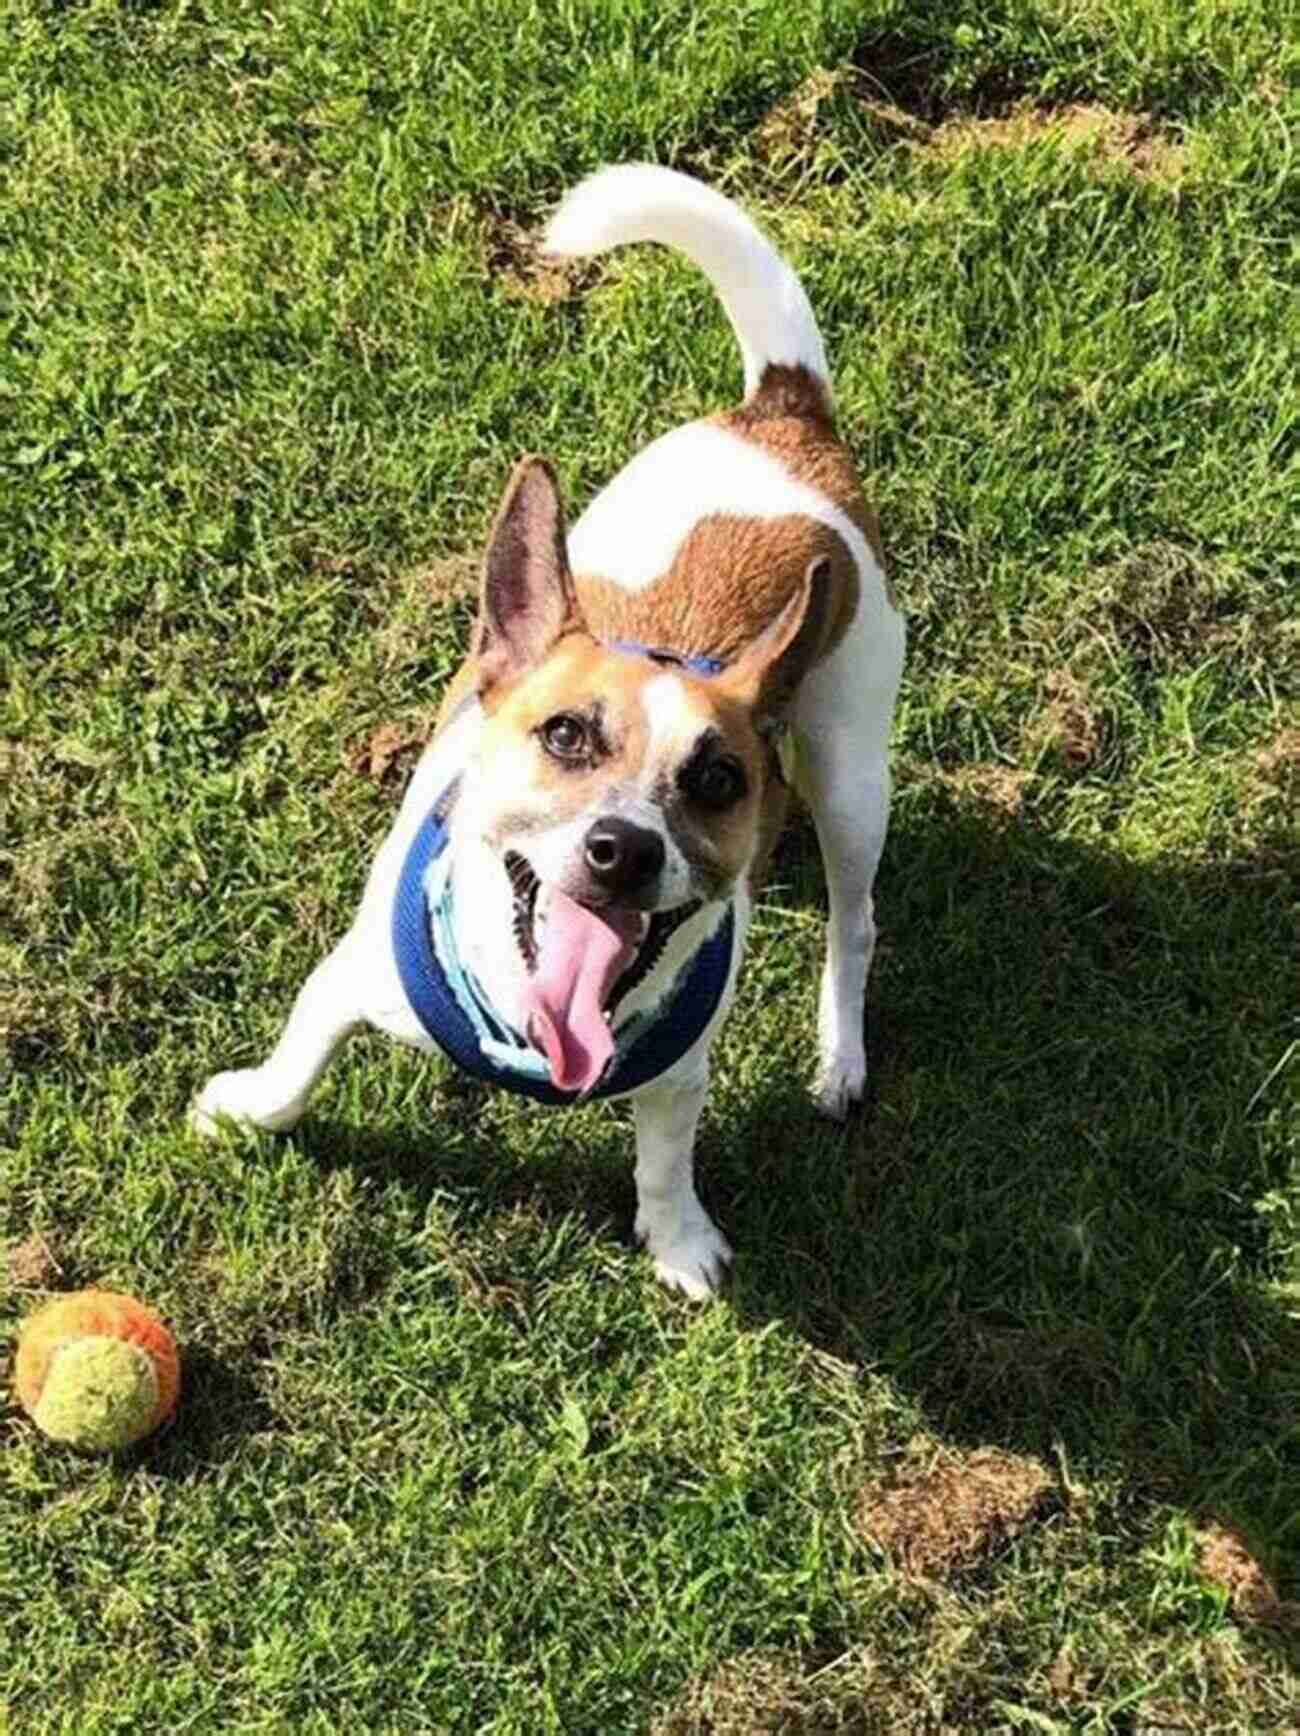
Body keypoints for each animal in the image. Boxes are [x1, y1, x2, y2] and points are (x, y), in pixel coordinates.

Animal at [195, 165, 902, 1305]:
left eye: (714, 779)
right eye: (564, 734)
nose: (624, 847)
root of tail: (780, 415)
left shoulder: (679, 1071)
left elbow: (664, 1156)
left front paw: (678, 1238)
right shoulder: (348, 980)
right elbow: (300, 1059)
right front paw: (248, 1109)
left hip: (851, 767)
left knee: (854, 919)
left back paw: (839, 1053)